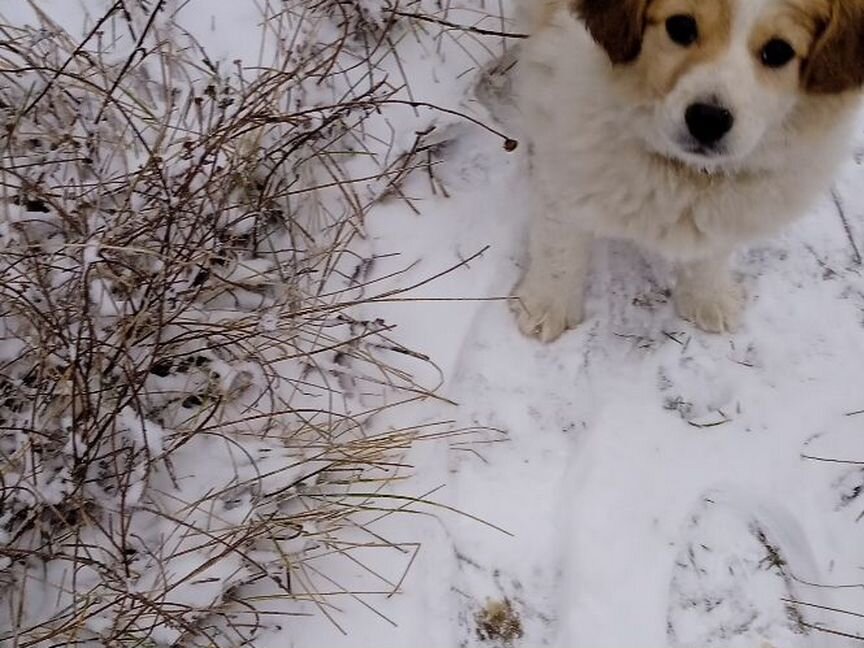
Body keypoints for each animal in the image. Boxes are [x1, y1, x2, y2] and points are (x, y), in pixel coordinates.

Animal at [512, 0, 864, 342]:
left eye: (779, 51)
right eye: (680, 26)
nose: (708, 119)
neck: (686, 172)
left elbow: (712, 247)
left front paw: (707, 298)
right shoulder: (565, 157)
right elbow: (560, 246)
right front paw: (548, 304)